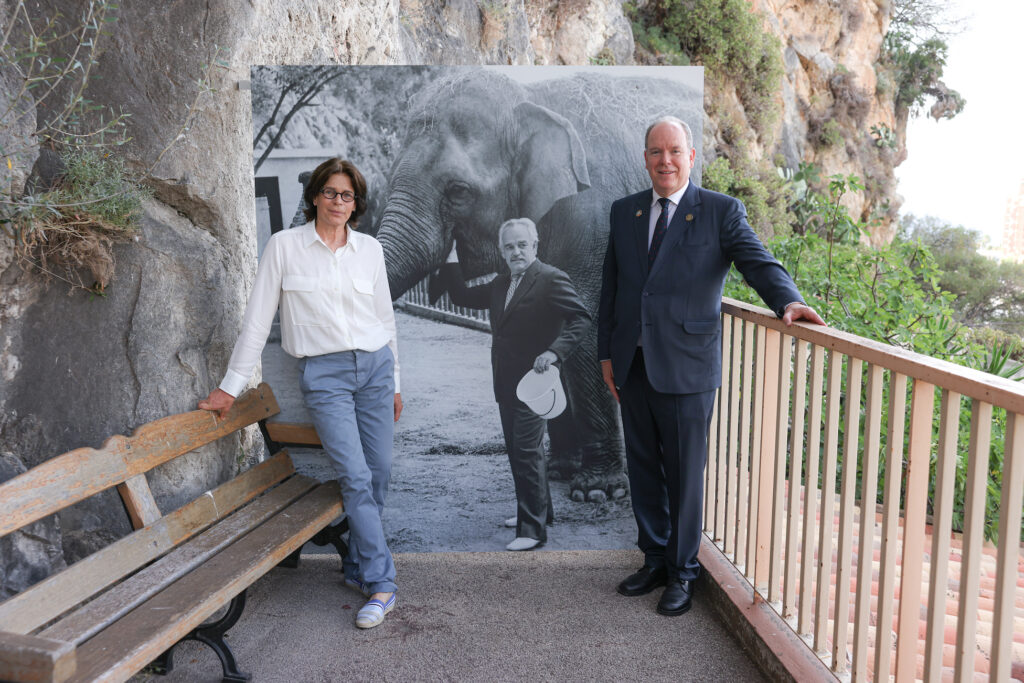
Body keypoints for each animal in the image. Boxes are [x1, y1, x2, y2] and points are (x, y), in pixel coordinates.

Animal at [376, 66, 704, 499]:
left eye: (458, 191)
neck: (530, 100)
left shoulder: (591, 221)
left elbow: (585, 330)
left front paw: (597, 491)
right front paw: (560, 471)